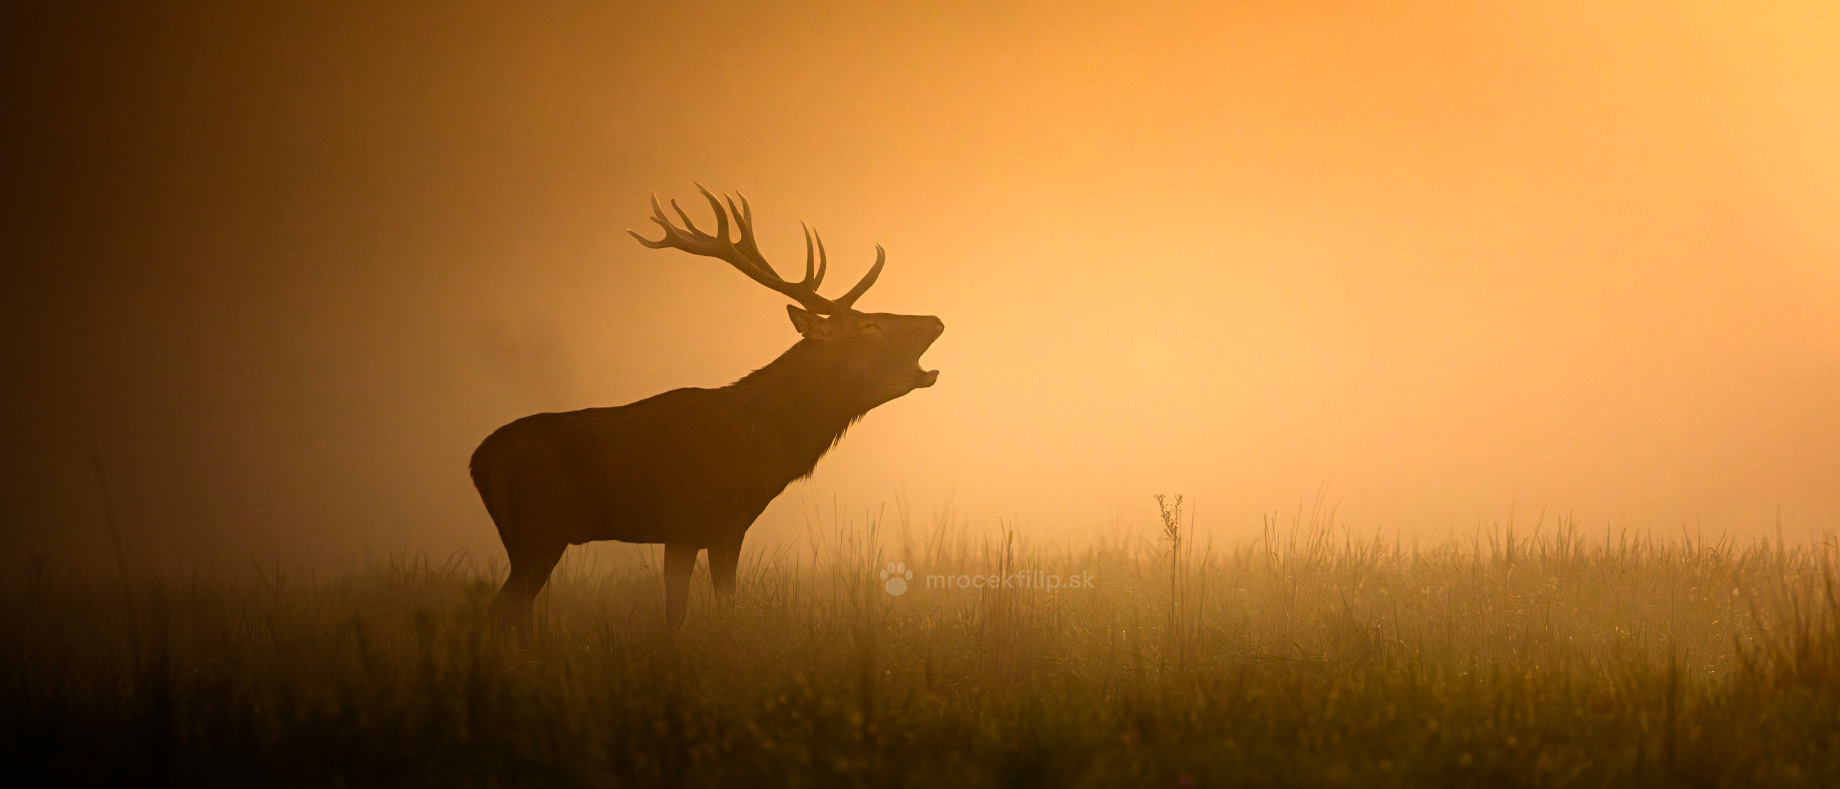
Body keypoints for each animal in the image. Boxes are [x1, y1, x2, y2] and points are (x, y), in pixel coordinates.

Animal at [470, 186, 943, 633]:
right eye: (870, 325)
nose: (935, 320)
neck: (759, 449)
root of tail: (480, 460)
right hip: (539, 531)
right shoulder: (688, 524)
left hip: (525, 540)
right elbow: (682, 614)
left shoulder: (724, 528)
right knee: (502, 611)